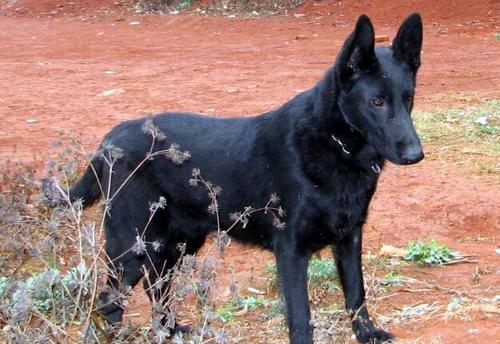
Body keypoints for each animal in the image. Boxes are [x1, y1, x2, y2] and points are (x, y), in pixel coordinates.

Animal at [53, 13, 422, 344]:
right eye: (377, 101)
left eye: (408, 99)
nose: (415, 154)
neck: (334, 144)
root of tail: (109, 140)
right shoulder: (291, 251)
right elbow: (300, 317)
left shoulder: (349, 238)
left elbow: (356, 295)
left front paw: (367, 334)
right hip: (134, 245)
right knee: (109, 299)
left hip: (178, 243)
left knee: (156, 286)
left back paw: (169, 330)